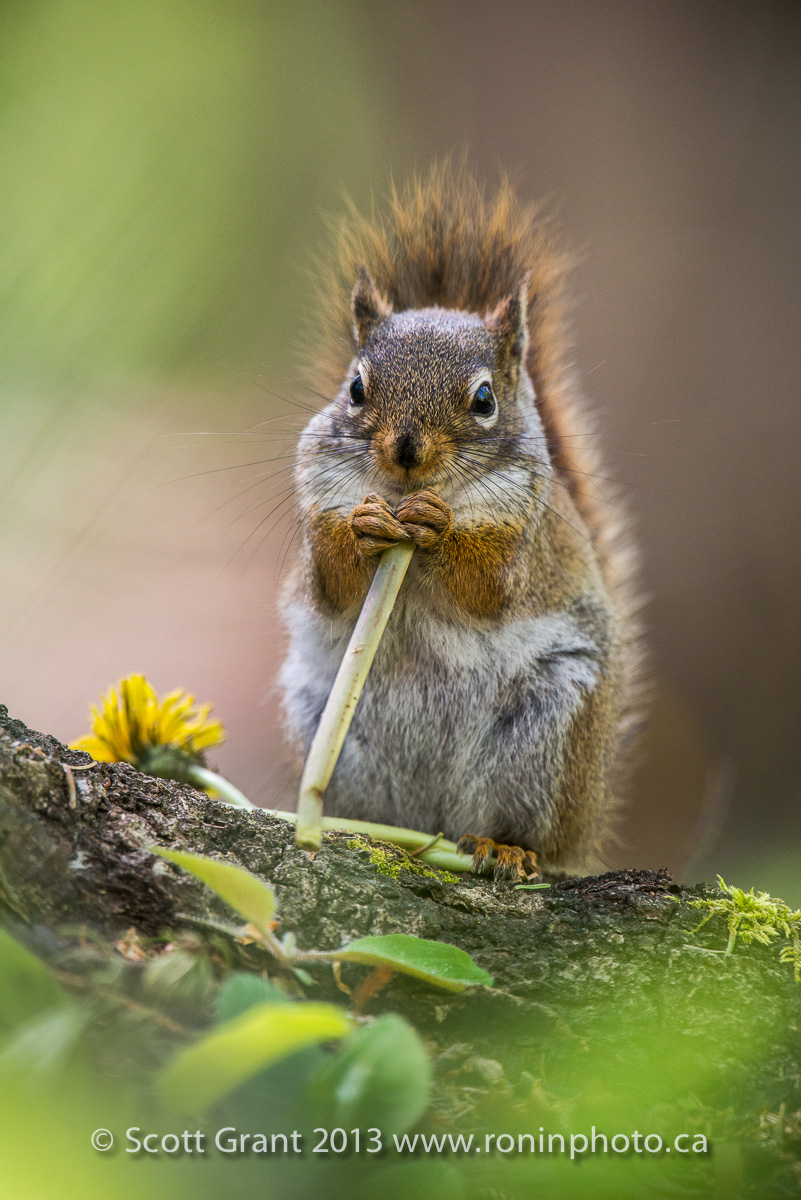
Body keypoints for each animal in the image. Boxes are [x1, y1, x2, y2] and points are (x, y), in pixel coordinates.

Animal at [279, 164, 641, 880]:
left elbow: (489, 590)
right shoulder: (317, 501)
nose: (406, 452)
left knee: (529, 832)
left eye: (483, 400)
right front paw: (363, 525)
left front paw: (437, 524)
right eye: (355, 387)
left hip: (550, 735)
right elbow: (329, 585)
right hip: (330, 728)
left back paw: (507, 848)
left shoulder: (523, 538)